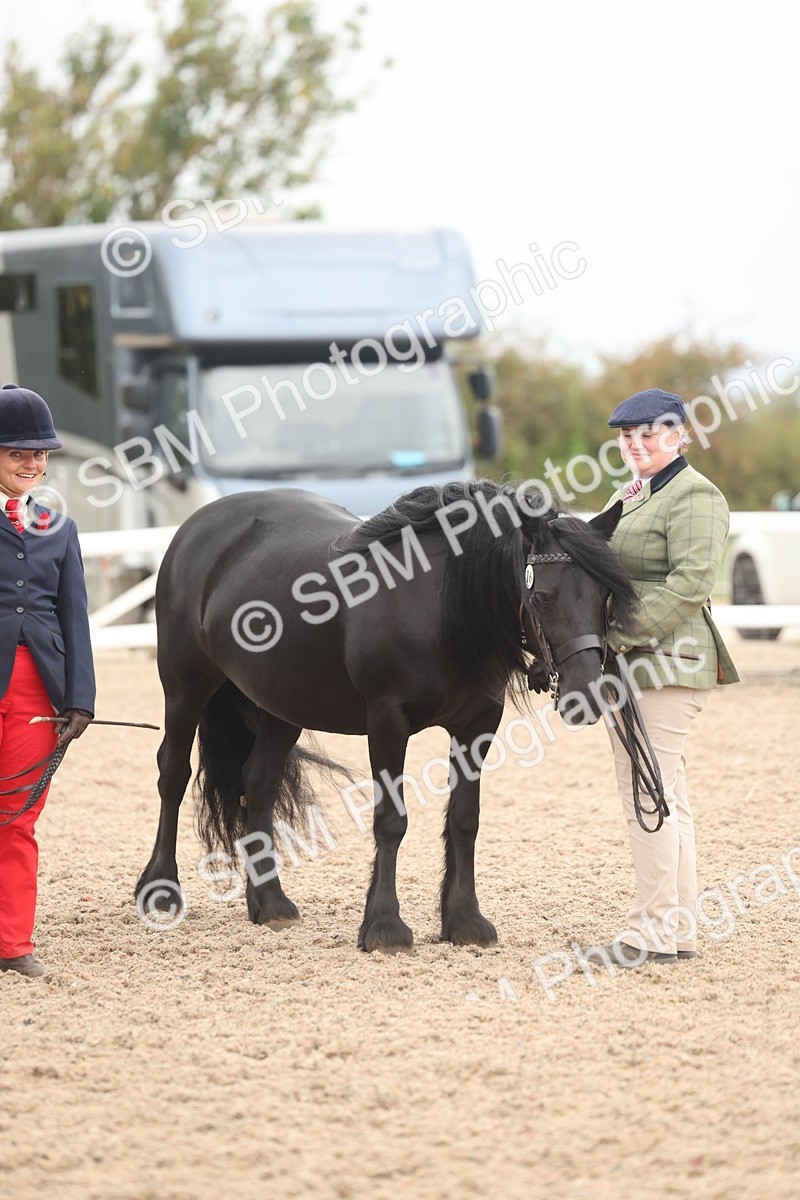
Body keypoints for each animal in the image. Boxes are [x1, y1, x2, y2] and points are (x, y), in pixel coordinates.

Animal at [135, 479, 637, 951]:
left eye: (605, 596)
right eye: (545, 597)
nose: (588, 694)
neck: (441, 606)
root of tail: (199, 524)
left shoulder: (478, 725)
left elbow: (465, 819)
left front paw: (465, 921)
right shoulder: (388, 722)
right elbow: (391, 821)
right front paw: (384, 927)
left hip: (282, 702)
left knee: (257, 783)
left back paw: (270, 902)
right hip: (185, 686)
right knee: (172, 773)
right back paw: (160, 889)